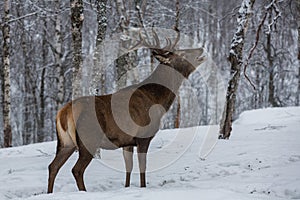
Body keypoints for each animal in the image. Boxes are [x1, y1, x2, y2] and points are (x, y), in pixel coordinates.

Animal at [47, 27, 206, 192]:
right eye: (182, 53)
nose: (200, 48)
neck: (159, 103)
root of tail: (63, 113)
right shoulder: (143, 136)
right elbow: (142, 167)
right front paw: (143, 187)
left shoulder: (127, 141)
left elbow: (128, 167)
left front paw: (127, 187)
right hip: (88, 138)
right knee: (76, 169)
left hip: (65, 142)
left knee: (53, 166)